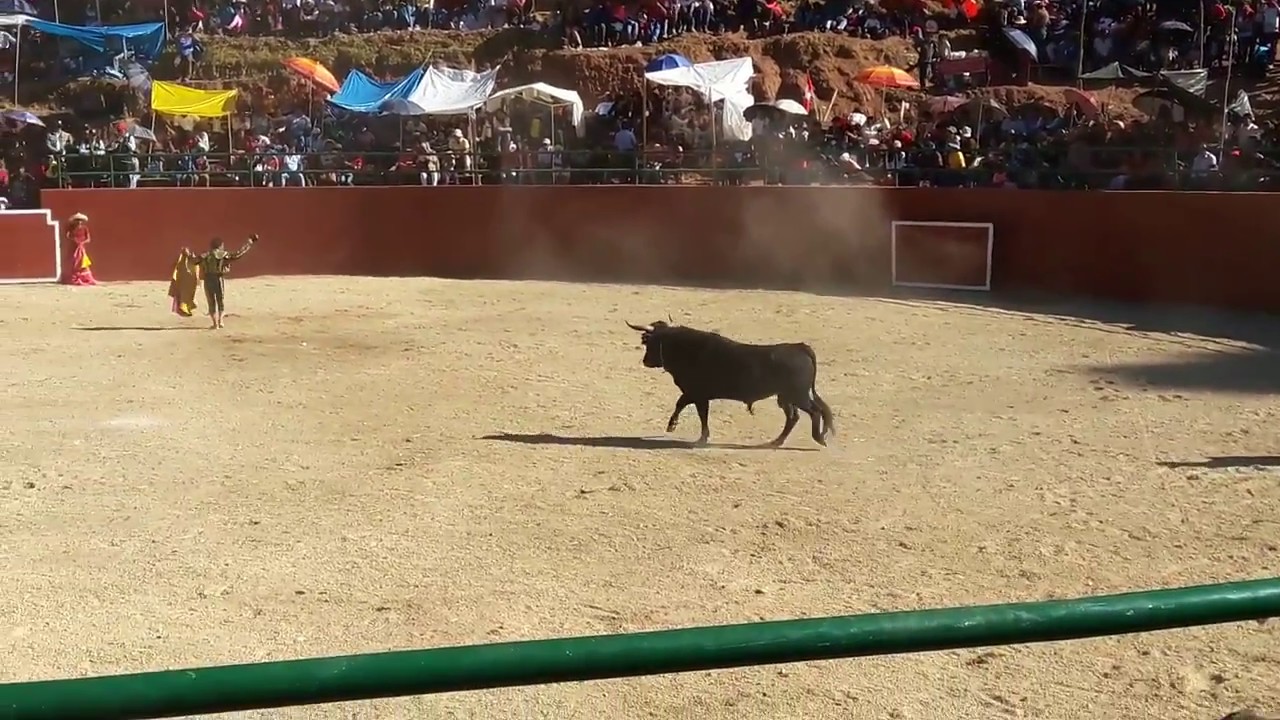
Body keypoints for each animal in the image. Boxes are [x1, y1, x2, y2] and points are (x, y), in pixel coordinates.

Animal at [624, 317, 834, 443]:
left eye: (649, 342)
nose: (645, 361)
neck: (686, 348)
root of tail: (800, 347)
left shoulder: (697, 393)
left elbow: (694, 410)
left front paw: (693, 434)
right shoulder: (697, 394)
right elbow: (686, 407)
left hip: (797, 395)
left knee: (814, 411)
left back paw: (818, 438)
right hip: (786, 397)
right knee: (794, 416)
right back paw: (777, 442)